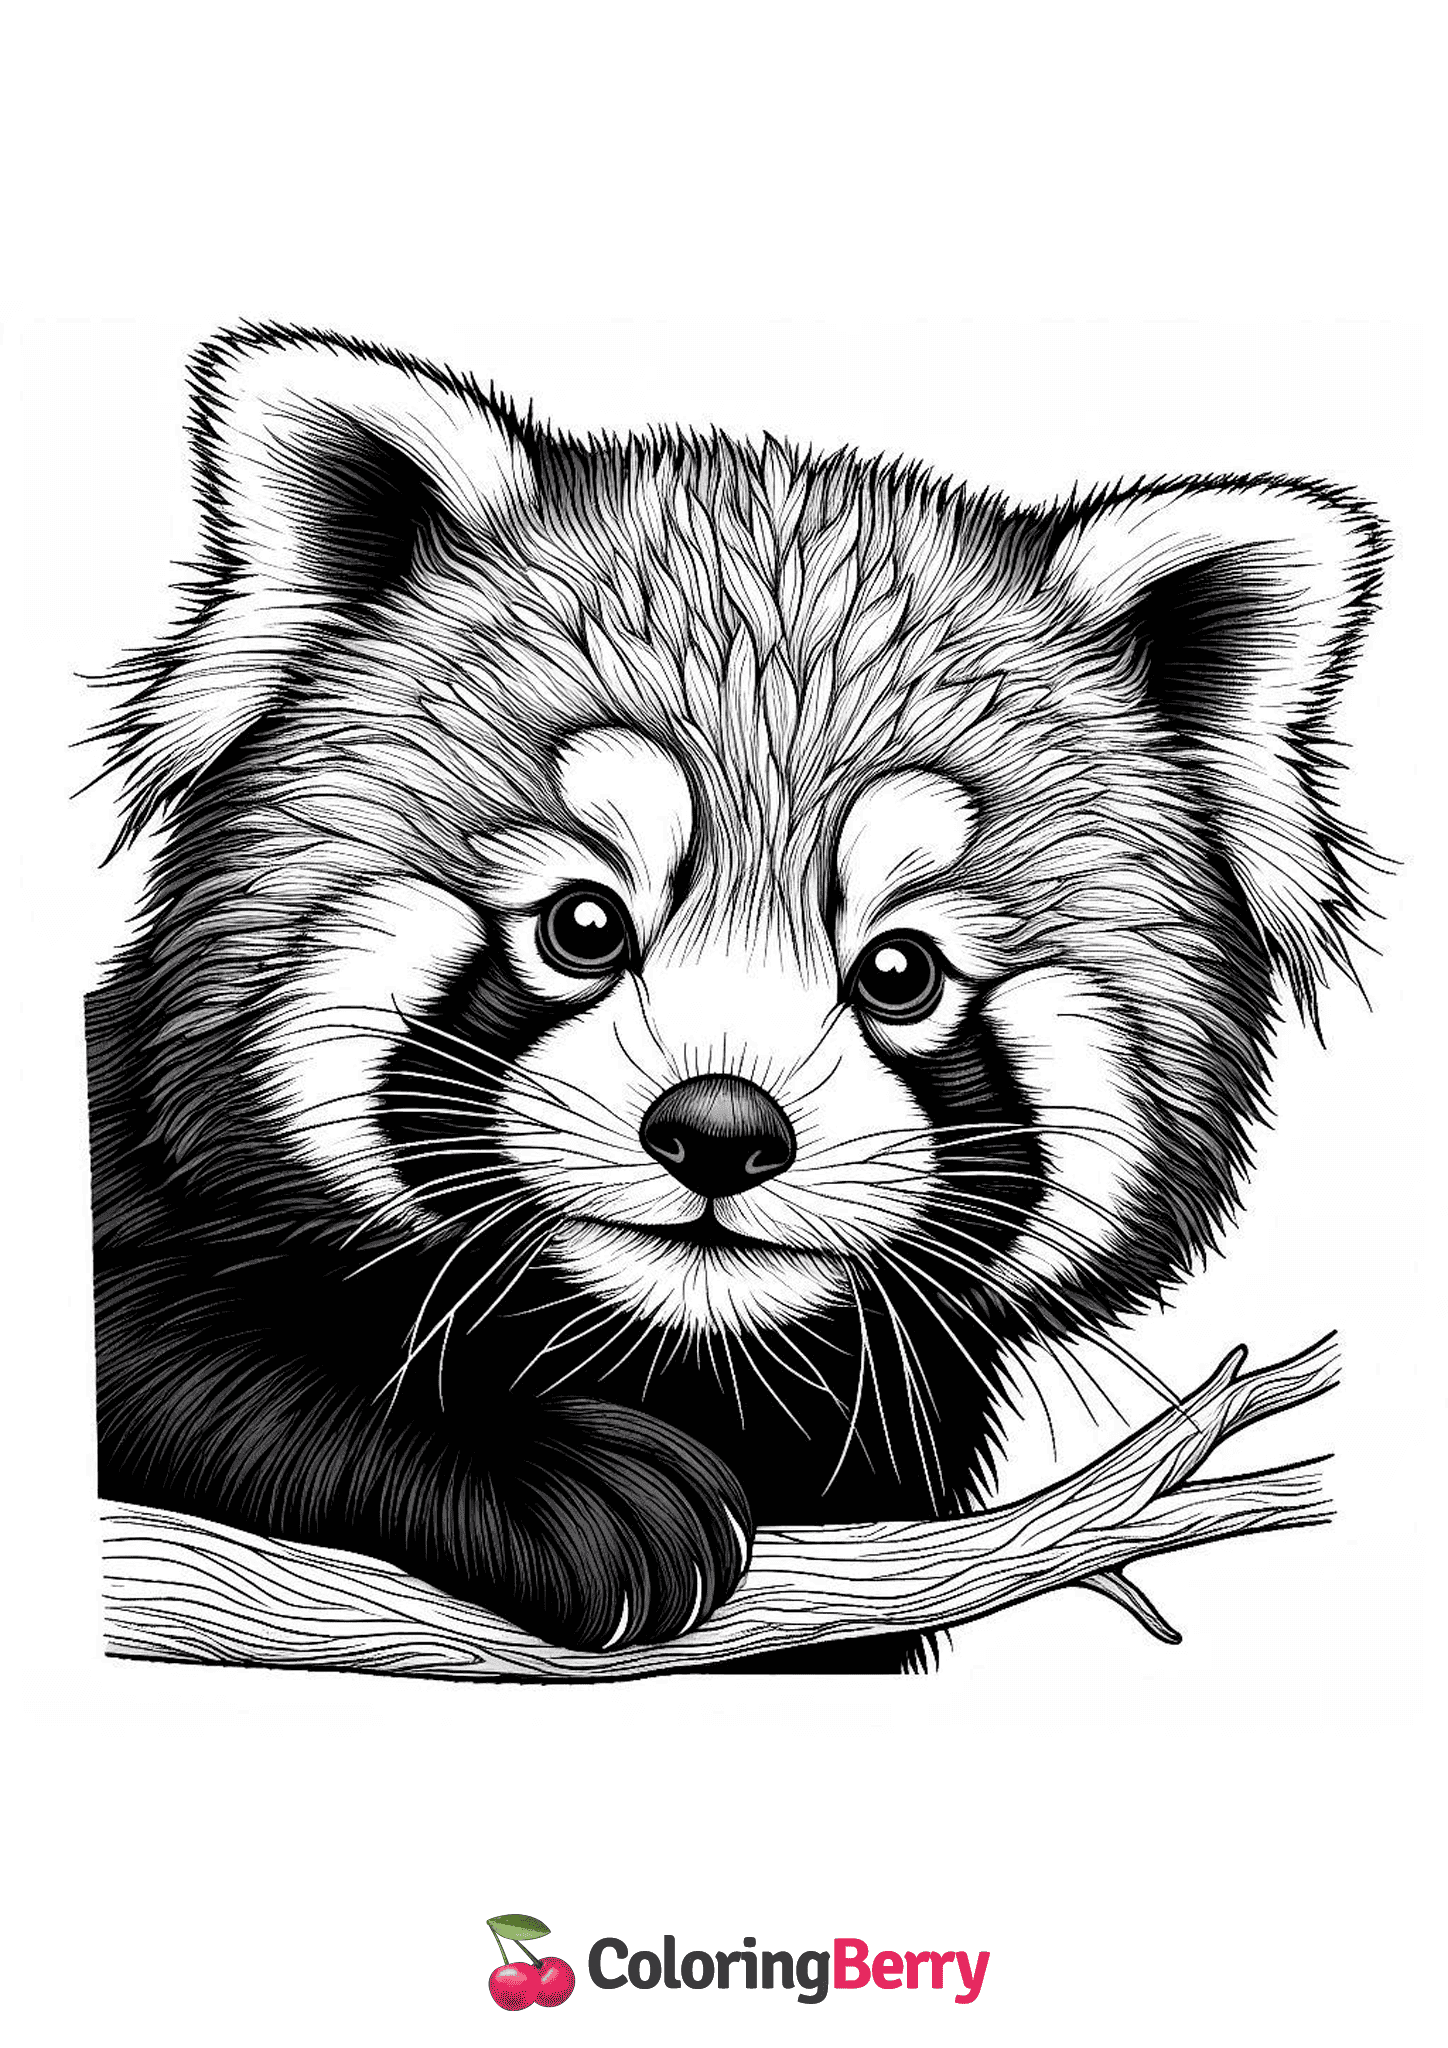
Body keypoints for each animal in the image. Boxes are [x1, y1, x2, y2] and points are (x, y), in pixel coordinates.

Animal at [89, 323, 1385, 1673]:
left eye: (899, 971)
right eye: (582, 923)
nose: (718, 1126)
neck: (676, 1360)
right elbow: (189, 1362)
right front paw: (570, 1480)